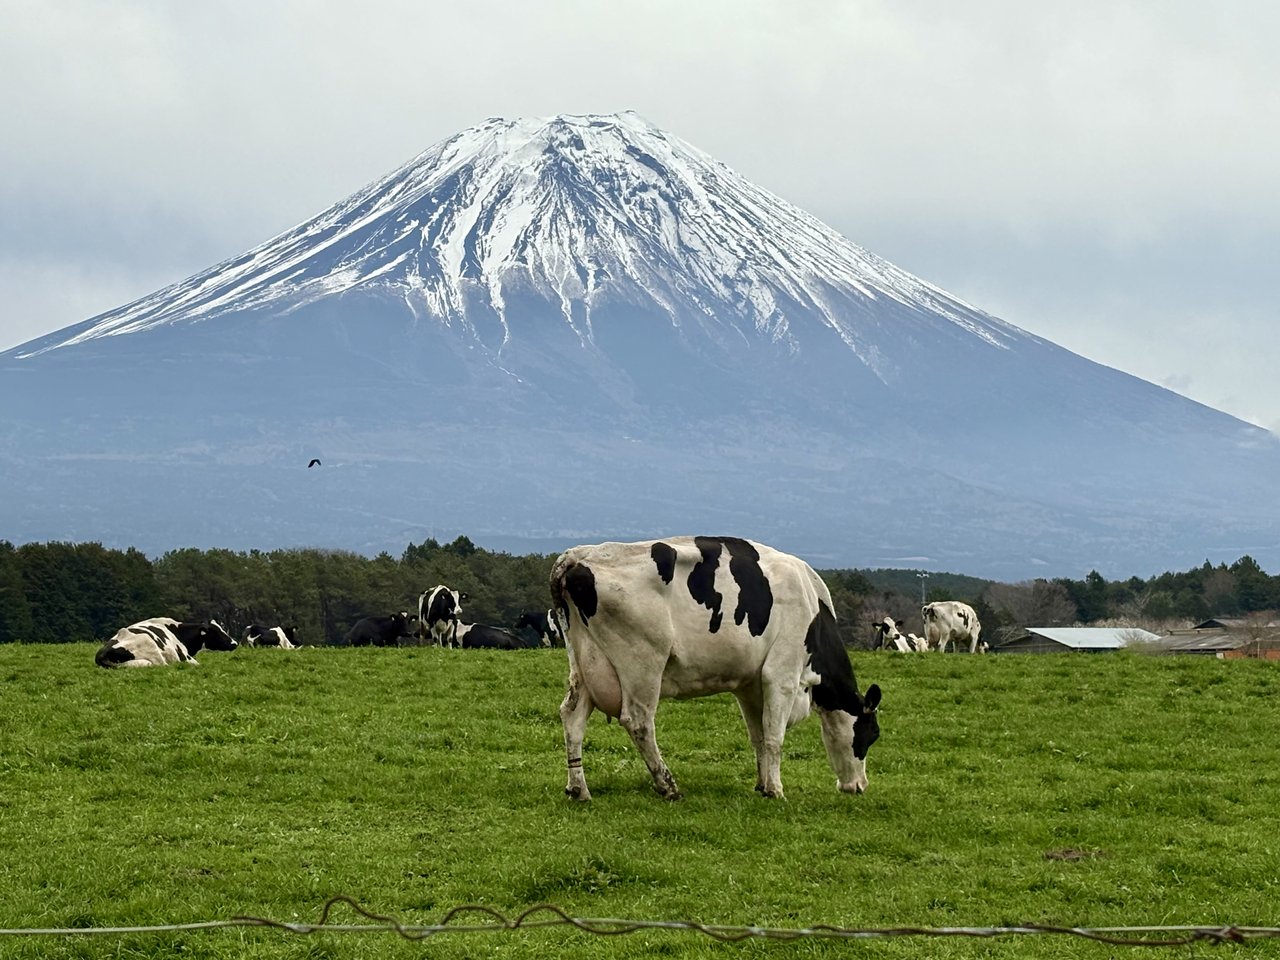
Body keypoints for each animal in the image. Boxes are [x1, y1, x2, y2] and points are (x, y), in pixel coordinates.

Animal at [551, 536, 882, 801]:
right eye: (872, 735)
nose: (859, 786)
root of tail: (580, 555)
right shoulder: (782, 675)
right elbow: (774, 737)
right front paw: (776, 789)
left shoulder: (750, 686)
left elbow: (758, 736)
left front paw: (762, 784)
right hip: (642, 664)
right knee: (638, 721)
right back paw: (668, 786)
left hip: (585, 664)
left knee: (572, 716)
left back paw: (578, 789)